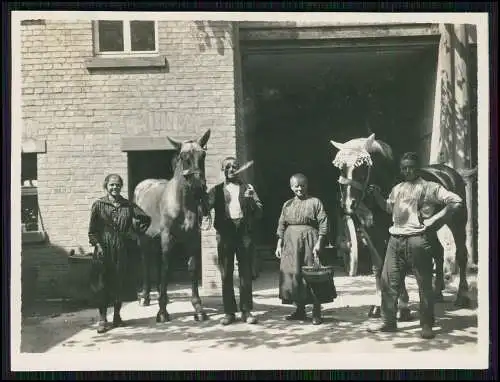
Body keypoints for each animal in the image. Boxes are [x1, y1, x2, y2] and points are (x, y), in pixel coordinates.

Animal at [133, 129, 211, 322]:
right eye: (183, 156)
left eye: (203, 154)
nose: (198, 186)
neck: (182, 203)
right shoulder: (168, 237)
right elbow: (166, 269)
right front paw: (162, 312)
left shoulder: (193, 238)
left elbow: (192, 267)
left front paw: (198, 309)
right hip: (144, 238)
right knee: (146, 261)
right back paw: (145, 297)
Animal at [330, 133, 470, 318]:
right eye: (341, 168)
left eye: (362, 167)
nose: (347, 204)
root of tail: (447, 172)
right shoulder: (371, 234)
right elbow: (379, 267)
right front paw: (378, 306)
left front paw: (402, 307)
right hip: (432, 227)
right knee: (439, 252)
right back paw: (436, 293)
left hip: (458, 222)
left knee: (461, 254)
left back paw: (462, 296)